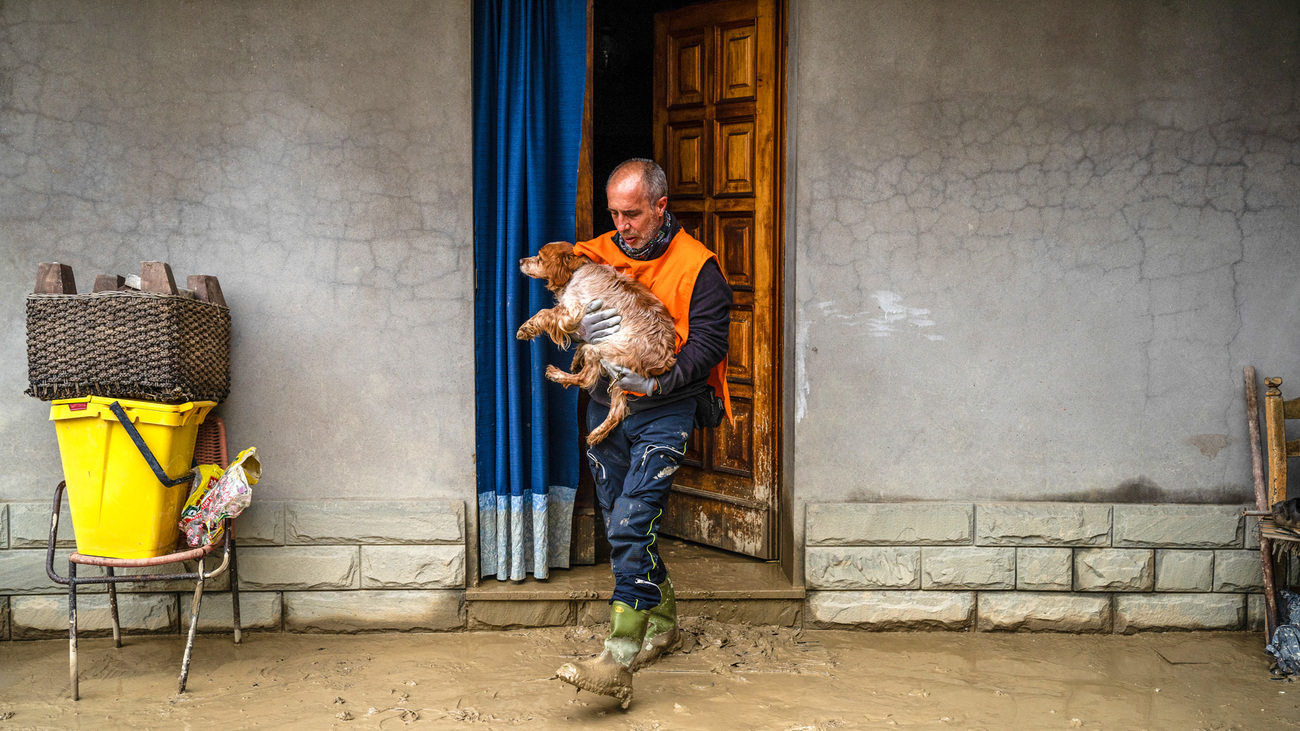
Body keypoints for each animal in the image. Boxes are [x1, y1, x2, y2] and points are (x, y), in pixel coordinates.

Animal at [517, 240, 681, 444]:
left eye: (539, 258)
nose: (520, 261)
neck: (576, 270)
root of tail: (664, 360)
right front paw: (575, 359)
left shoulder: (571, 310)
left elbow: (543, 313)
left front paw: (525, 329)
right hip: (621, 377)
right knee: (617, 410)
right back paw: (596, 434)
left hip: (602, 350)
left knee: (585, 379)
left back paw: (556, 374)